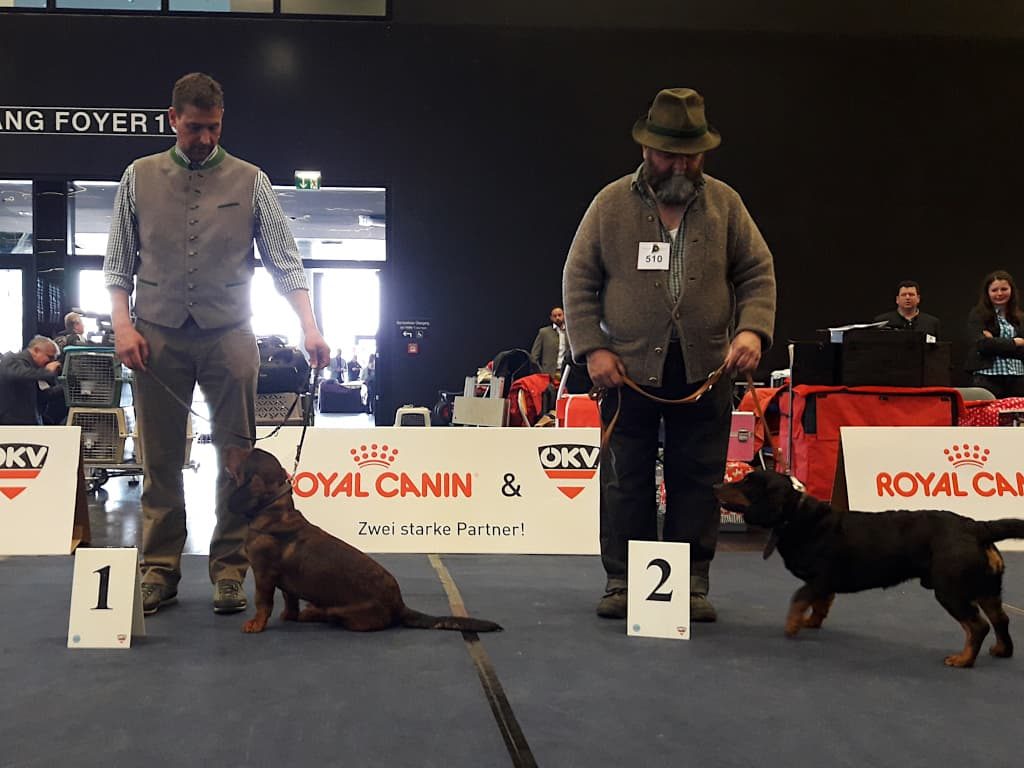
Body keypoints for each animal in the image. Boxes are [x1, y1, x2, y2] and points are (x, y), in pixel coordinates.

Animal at [223, 448, 499, 634]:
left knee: (330, 616)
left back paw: (314, 612)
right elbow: (290, 603)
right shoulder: (285, 585)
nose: (229, 445)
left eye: (247, 454)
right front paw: (288, 616)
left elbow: (263, 603)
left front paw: (256, 624)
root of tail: (399, 605)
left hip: (341, 611)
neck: (272, 511)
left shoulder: (263, 574)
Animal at [712, 468, 1024, 667]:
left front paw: (792, 626)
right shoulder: (826, 586)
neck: (800, 518)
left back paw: (963, 660)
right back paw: (1002, 650)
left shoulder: (821, 578)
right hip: (987, 589)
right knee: (1001, 619)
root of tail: (977, 527)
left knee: (978, 625)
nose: (715, 486)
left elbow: (799, 598)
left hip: (951, 591)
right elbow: (821, 604)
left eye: (746, 482)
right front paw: (811, 622)